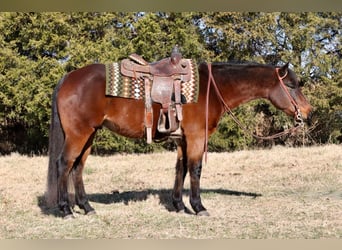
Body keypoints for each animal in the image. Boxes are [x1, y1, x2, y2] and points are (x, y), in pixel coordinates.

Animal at [45, 60, 312, 217]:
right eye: (291, 85)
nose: (308, 111)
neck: (211, 89)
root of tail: (68, 77)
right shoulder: (196, 137)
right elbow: (195, 169)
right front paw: (198, 206)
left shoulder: (183, 139)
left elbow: (180, 169)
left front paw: (179, 205)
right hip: (78, 134)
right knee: (64, 164)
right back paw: (66, 209)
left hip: (89, 135)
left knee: (78, 168)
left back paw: (87, 207)